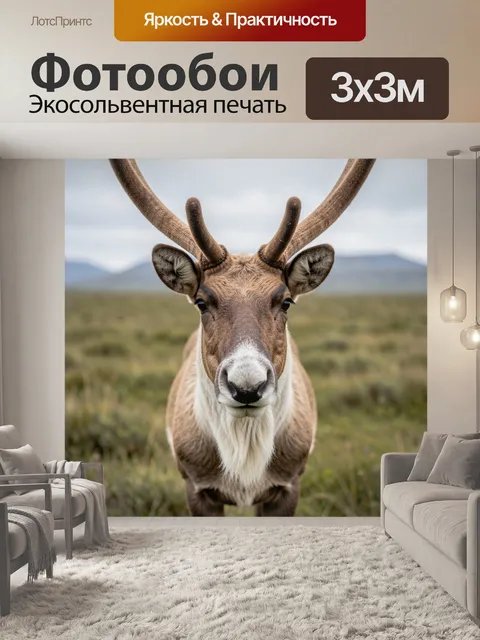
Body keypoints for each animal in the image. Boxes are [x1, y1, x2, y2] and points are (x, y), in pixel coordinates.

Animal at [109, 159, 376, 516]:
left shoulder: (287, 487)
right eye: (202, 302)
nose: (247, 387)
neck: (245, 452)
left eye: (285, 301)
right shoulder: (197, 489)